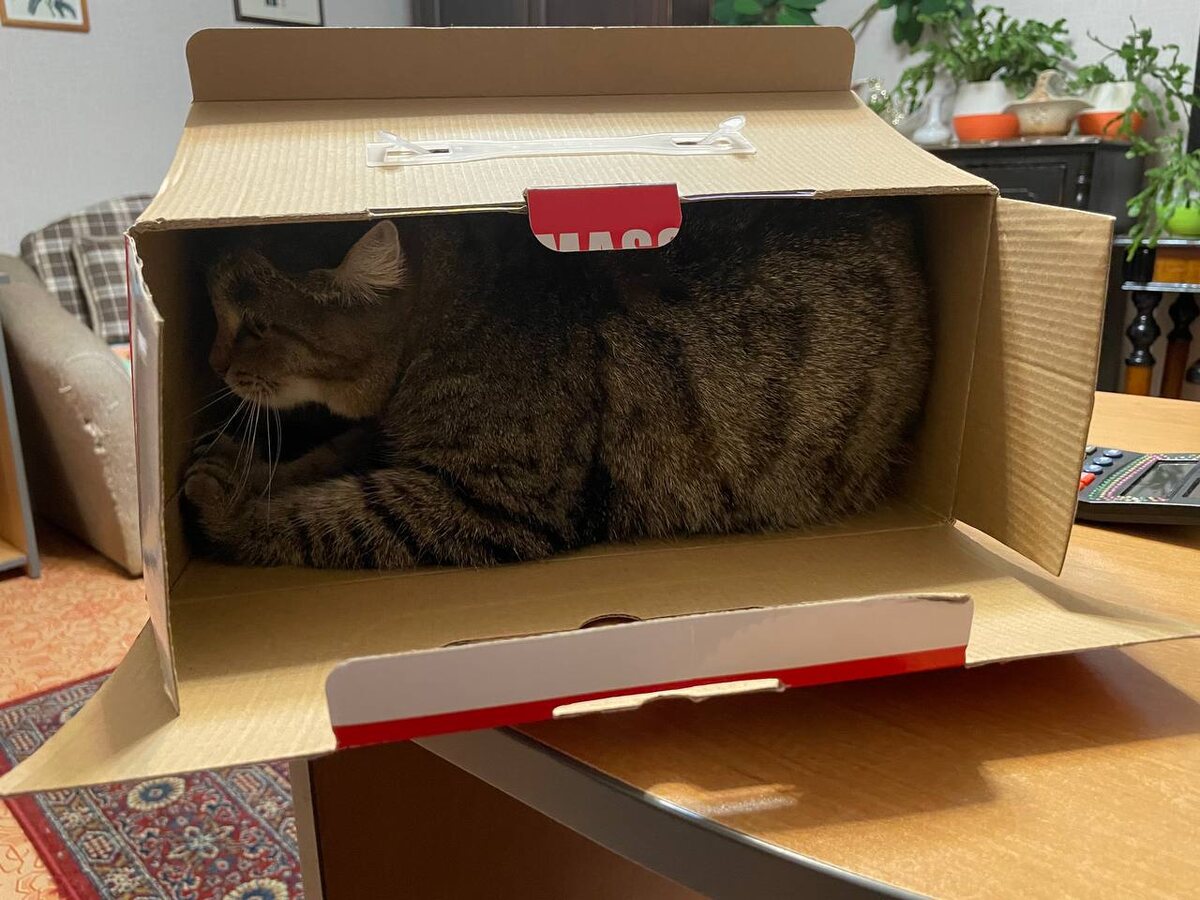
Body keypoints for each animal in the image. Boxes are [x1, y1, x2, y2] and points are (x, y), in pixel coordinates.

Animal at [184, 198, 932, 569]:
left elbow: (328, 513)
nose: (214, 365)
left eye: (255, 326)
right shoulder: (381, 436)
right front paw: (237, 467)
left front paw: (228, 508)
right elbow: (317, 464)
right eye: (215, 315)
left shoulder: (495, 498)